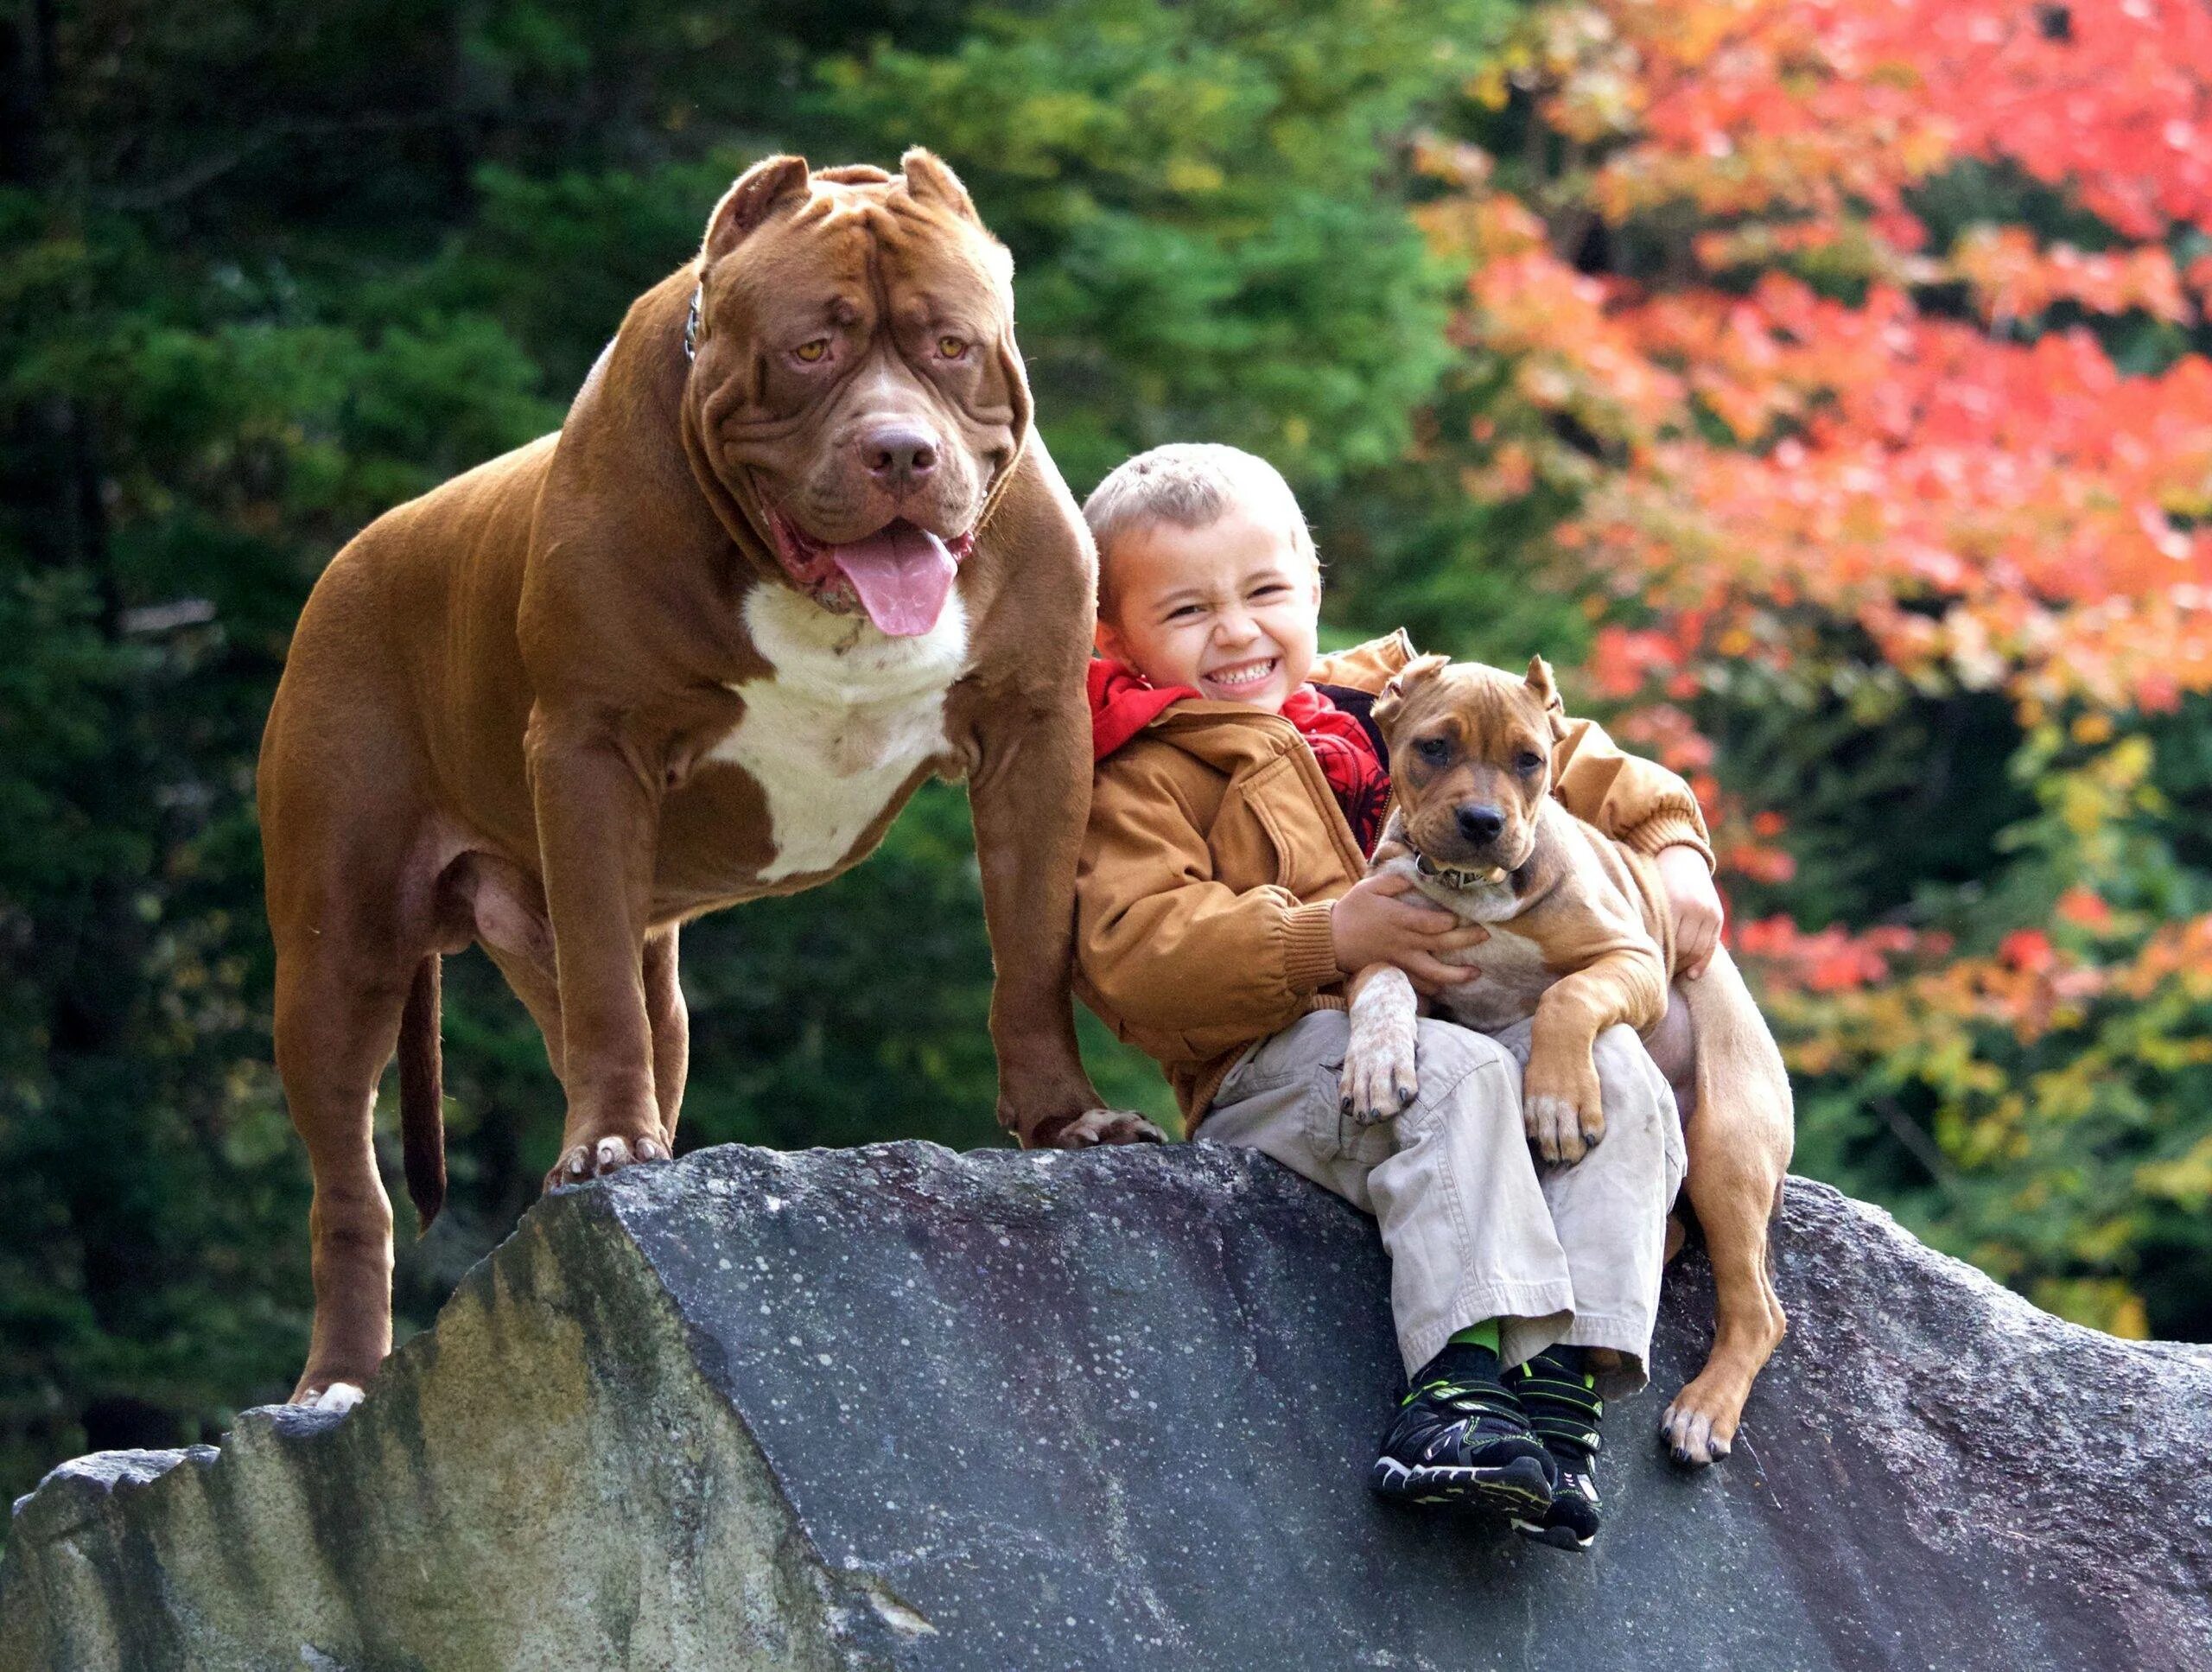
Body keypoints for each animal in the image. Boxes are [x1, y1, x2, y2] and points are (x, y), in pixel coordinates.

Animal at [258, 153, 1159, 1406]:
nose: (901, 451)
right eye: (813, 348)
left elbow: (1032, 950)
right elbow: (601, 990)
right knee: (351, 1187)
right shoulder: (592, 750)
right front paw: (603, 1152)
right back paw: (340, 1380)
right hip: (337, 950)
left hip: (621, 972)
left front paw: (1067, 1117)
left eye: (951, 345)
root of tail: (349, 556)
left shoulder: (1037, 736)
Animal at [1327, 654, 1796, 1459]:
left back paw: (1702, 1411)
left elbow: (1567, 996)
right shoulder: (1372, 935)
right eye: (1434, 748)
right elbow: (1386, 983)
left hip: (1728, 1149)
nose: (1483, 823)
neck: (1472, 892)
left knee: (1759, 1309)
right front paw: (1379, 1063)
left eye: (1530, 760)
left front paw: (1557, 1103)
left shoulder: (1634, 960)